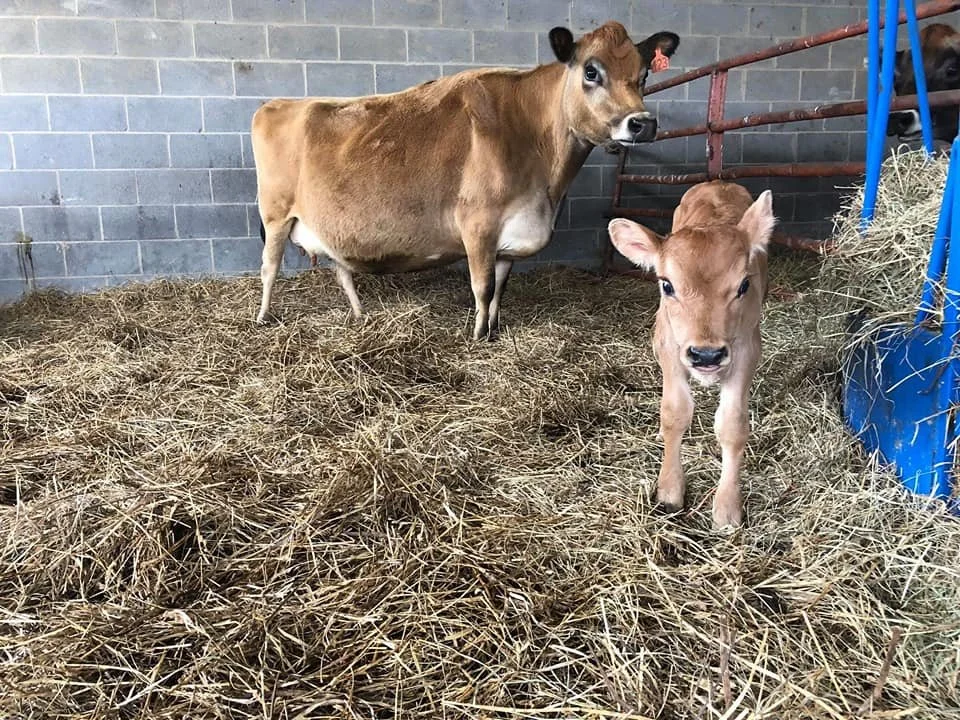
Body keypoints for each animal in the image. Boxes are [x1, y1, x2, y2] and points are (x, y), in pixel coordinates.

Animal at [251, 22, 680, 339]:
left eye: (643, 75)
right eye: (592, 71)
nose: (642, 123)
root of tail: (277, 103)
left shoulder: (508, 238)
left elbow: (501, 288)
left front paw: (493, 330)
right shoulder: (478, 225)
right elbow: (482, 287)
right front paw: (476, 335)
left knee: (341, 270)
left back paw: (359, 315)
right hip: (275, 214)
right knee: (269, 267)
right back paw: (262, 317)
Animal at [607, 181, 776, 529]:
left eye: (744, 285)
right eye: (667, 285)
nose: (706, 355)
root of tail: (718, 182)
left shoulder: (746, 349)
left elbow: (732, 425)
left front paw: (727, 507)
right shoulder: (669, 345)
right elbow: (674, 413)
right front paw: (669, 491)